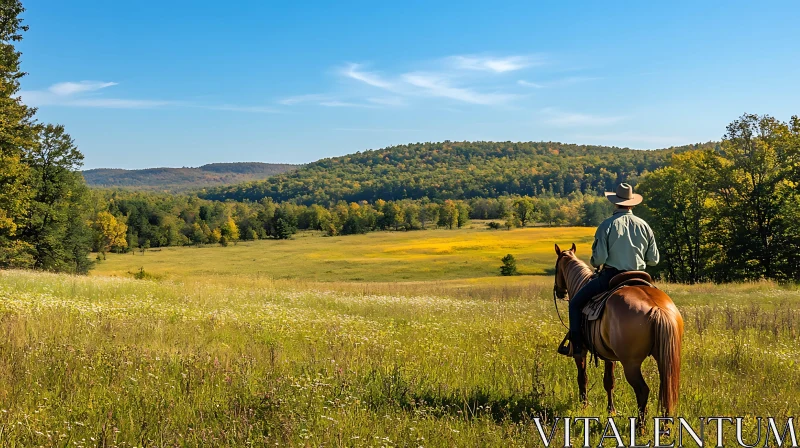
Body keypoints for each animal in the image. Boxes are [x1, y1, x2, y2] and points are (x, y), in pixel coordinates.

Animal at [556, 243, 680, 426]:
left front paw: (583, 406)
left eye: (556, 268)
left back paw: (640, 427)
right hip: (665, 359)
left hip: (631, 364)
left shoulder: (581, 351)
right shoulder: (609, 355)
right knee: (667, 390)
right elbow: (609, 382)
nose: (559, 292)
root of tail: (657, 308)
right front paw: (611, 410)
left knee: (642, 391)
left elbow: (582, 378)